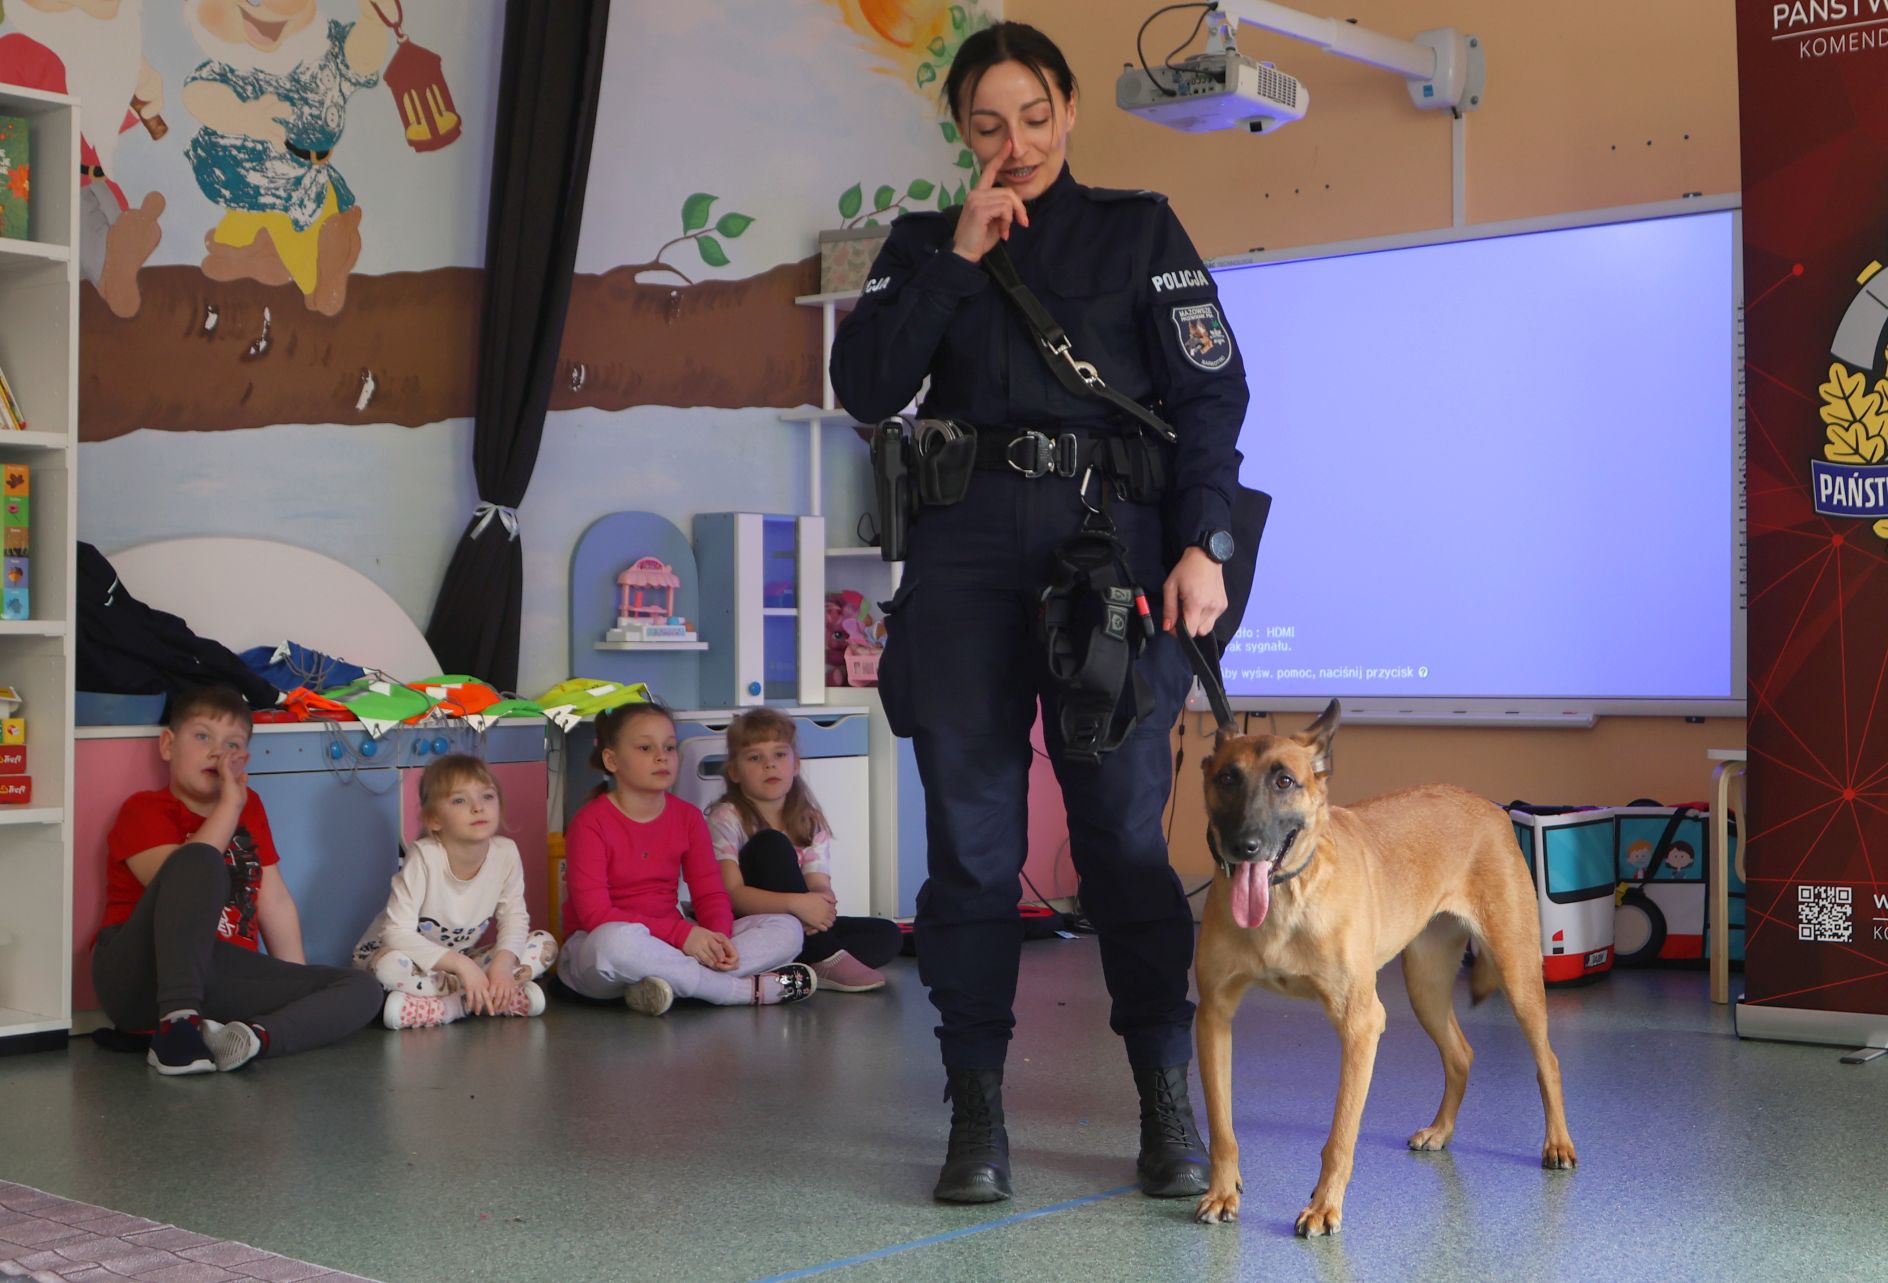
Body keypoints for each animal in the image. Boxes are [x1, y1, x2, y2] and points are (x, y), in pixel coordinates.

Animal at [1192, 700, 1576, 1235]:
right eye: (1227, 777)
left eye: (1285, 781)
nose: (1244, 845)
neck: (1289, 894)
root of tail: (1489, 806)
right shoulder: (1214, 1016)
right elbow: (1222, 1125)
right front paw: (1223, 1191)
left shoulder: (1360, 1024)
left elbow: (1341, 1134)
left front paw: (1324, 1205)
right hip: (1425, 985)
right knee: (1461, 1055)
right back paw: (1441, 1130)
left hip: (1517, 974)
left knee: (1549, 1062)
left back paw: (1557, 1143)